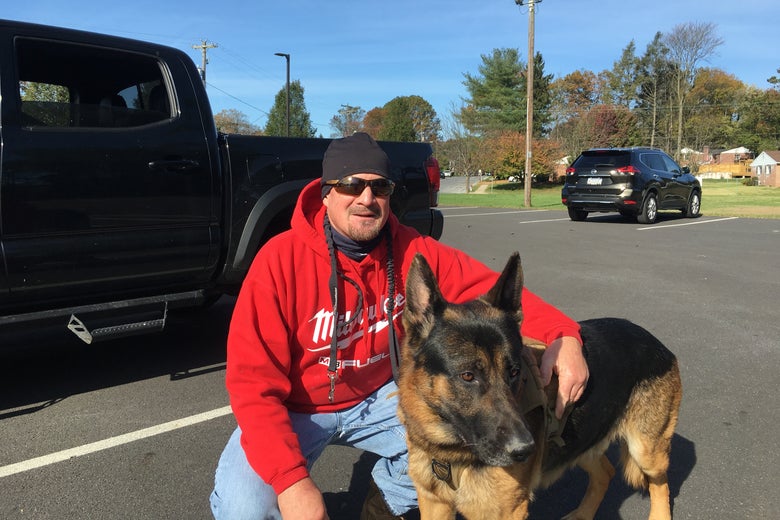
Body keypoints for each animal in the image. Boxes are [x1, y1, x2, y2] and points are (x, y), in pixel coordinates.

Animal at [400, 253, 680, 520]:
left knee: (660, 484)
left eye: (514, 372)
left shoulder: (507, 512)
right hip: (580, 444)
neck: (451, 451)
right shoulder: (434, 504)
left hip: (646, 452)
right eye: (468, 376)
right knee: (606, 473)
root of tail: (654, 342)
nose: (525, 449)